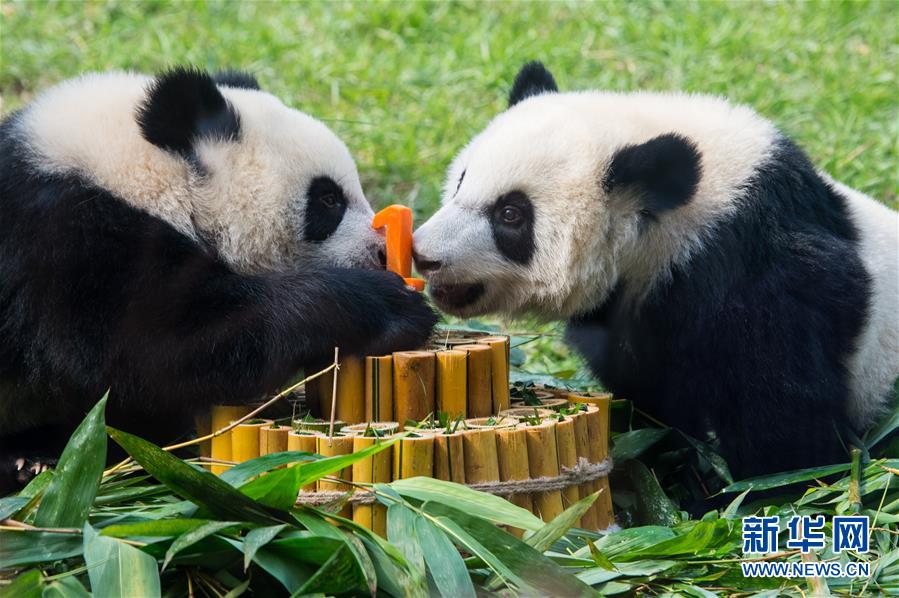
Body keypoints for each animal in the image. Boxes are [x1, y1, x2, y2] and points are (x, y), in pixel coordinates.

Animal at [0, 68, 436, 490]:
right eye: (328, 199)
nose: (382, 252)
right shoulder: (69, 244)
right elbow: (156, 349)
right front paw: (389, 307)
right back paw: (29, 461)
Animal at [416, 62, 899, 482]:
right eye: (461, 181)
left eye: (511, 214)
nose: (424, 256)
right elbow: (654, 399)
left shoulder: (759, 271)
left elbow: (783, 416)